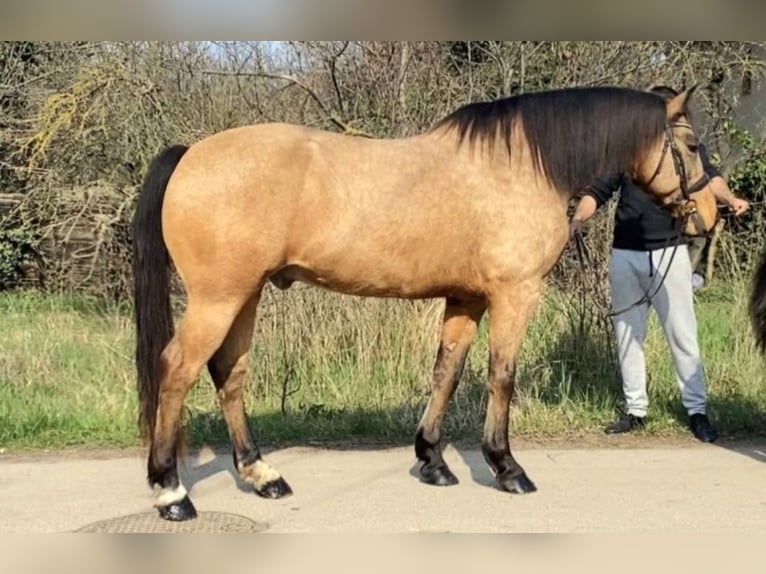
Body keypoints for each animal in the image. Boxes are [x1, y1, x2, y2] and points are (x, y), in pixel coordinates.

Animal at [134, 85, 728, 520]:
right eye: (690, 145)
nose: (710, 212)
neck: (519, 167)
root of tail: (191, 154)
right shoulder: (514, 294)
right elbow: (500, 376)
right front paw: (507, 468)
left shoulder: (465, 299)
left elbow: (447, 372)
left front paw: (433, 461)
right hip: (218, 299)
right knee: (177, 371)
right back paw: (172, 493)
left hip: (245, 294)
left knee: (228, 374)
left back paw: (263, 477)